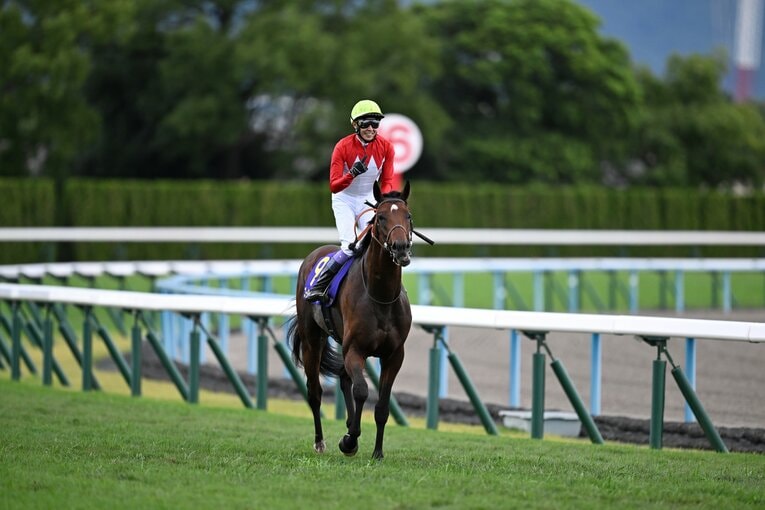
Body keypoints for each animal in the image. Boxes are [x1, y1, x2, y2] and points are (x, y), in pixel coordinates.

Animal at [288, 180, 415, 460]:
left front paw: (377, 452)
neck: (380, 295)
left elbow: (382, 406)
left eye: (408, 216)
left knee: (344, 378)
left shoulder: (395, 355)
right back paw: (320, 442)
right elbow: (362, 391)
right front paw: (349, 440)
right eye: (380, 217)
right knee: (315, 392)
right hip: (313, 340)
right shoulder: (356, 349)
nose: (400, 248)